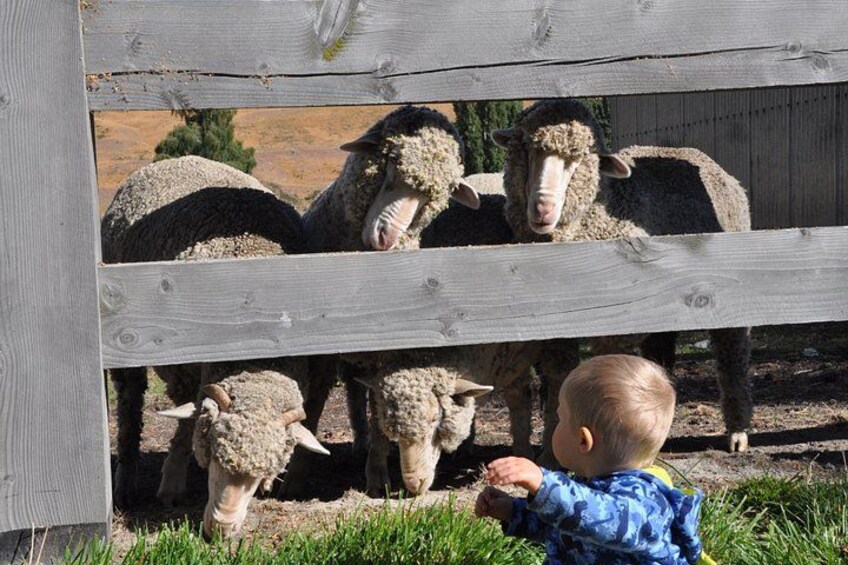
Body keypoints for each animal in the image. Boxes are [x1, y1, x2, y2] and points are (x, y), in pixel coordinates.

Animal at [102, 155, 329, 538]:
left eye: (260, 475)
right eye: (214, 452)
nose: (222, 528)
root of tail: (179, 158)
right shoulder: (186, 371)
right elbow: (183, 428)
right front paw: (171, 484)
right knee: (130, 406)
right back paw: (126, 482)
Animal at [491, 98, 753, 458]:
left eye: (579, 158)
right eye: (527, 148)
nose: (542, 210)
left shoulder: (615, 326)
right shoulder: (556, 327)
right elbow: (559, 379)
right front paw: (550, 450)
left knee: (732, 353)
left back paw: (738, 431)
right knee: (661, 351)